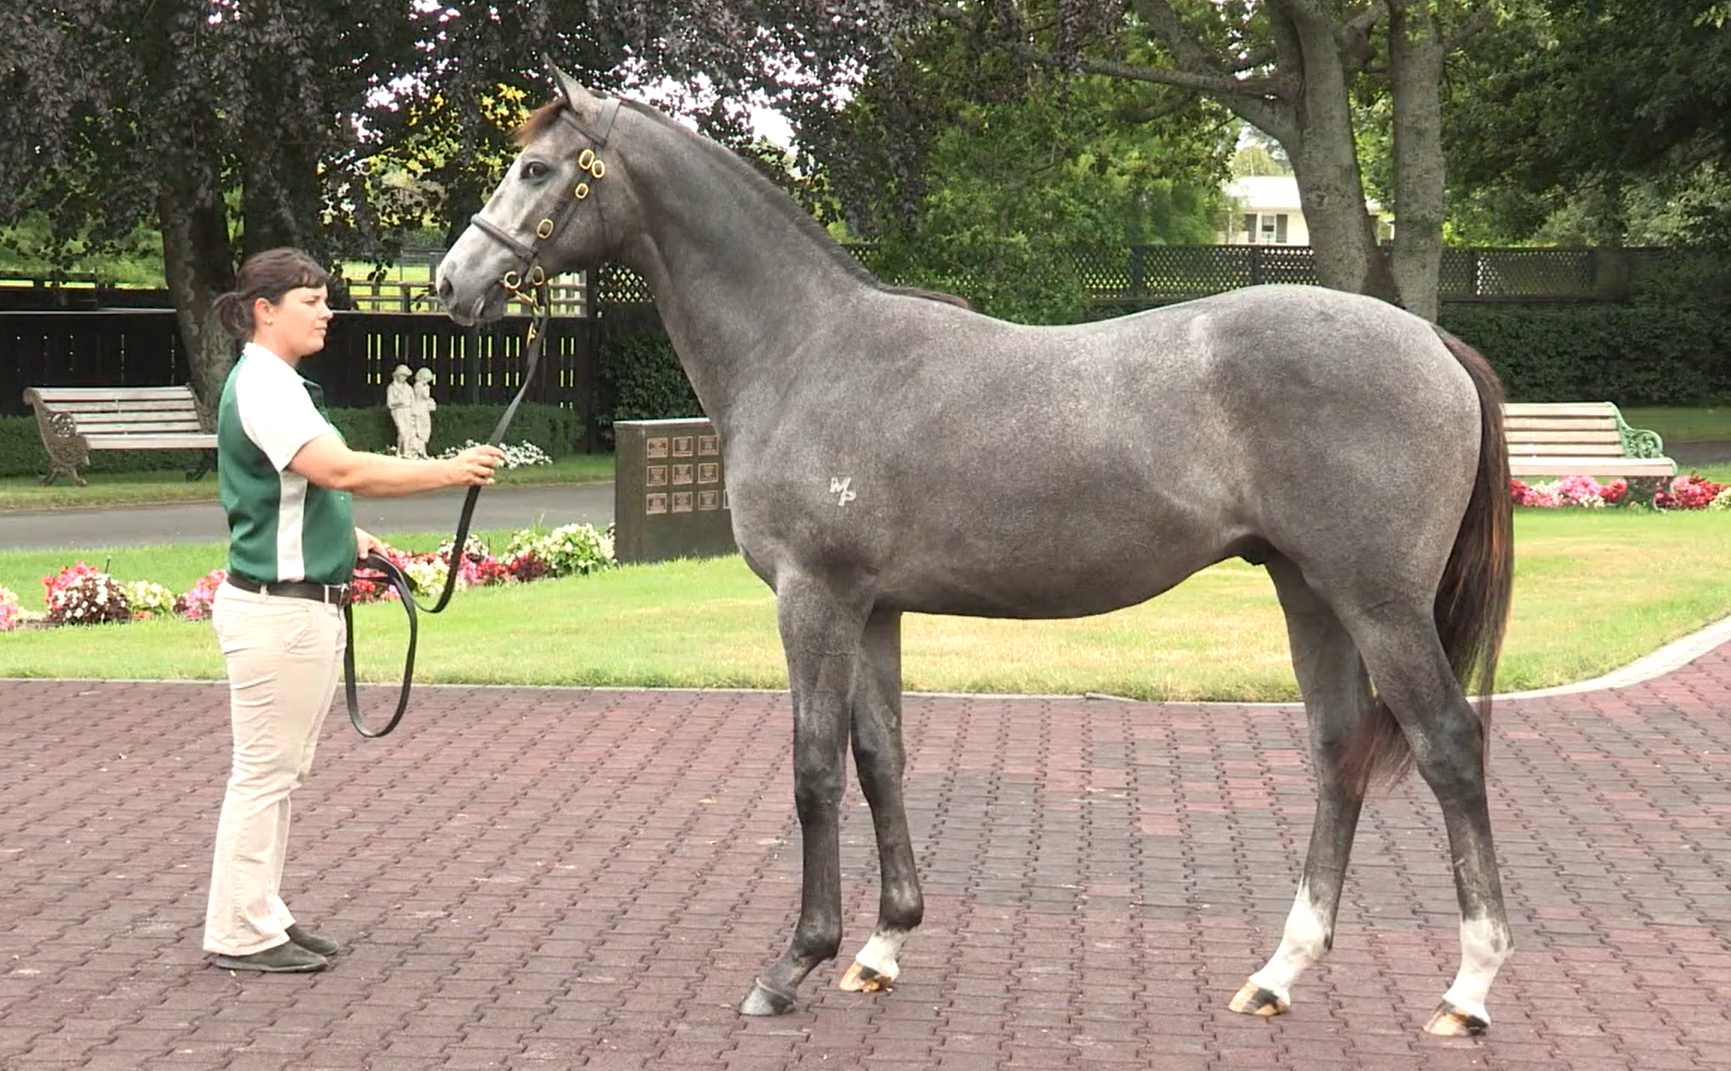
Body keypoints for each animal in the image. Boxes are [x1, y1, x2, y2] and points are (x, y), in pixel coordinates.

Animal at [436, 67, 1516, 1038]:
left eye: (536, 169)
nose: (452, 283)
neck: (805, 350)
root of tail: (1432, 342)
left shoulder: (812, 597)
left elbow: (814, 768)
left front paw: (794, 961)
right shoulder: (873, 606)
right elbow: (881, 756)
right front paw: (882, 946)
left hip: (1379, 603)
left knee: (1447, 744)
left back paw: (1466, 991)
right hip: (1309, 593)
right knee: (1339, 749)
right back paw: (1276, 973)